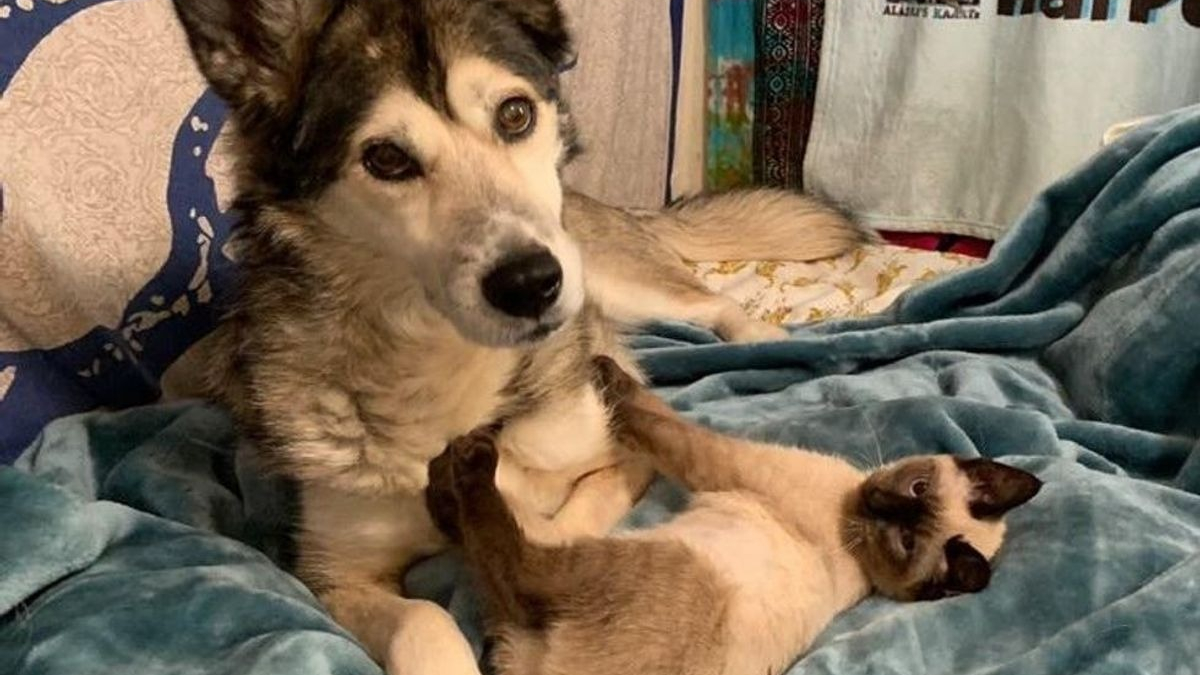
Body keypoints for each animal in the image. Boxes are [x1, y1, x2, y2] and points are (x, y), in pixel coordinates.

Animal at [169, 1, 864, 672]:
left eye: (515, 114)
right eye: (386, 158)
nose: (531, 283)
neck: (445, 368)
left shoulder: (623, 455)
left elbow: (557, 528)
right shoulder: (335, 574)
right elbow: (423, 620)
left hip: (612, 279)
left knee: (708, 300)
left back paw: (758, 332)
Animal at [429, 355, 1041, 667]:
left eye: (907, 543)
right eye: (916, 489)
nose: (879, 503)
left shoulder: (717, 461)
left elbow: (649, 415)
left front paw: (600, 368)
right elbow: (656, 406)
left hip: (608, 561)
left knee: (512, 561)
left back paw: (465, 462)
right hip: (522, 628)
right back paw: (447, 474)